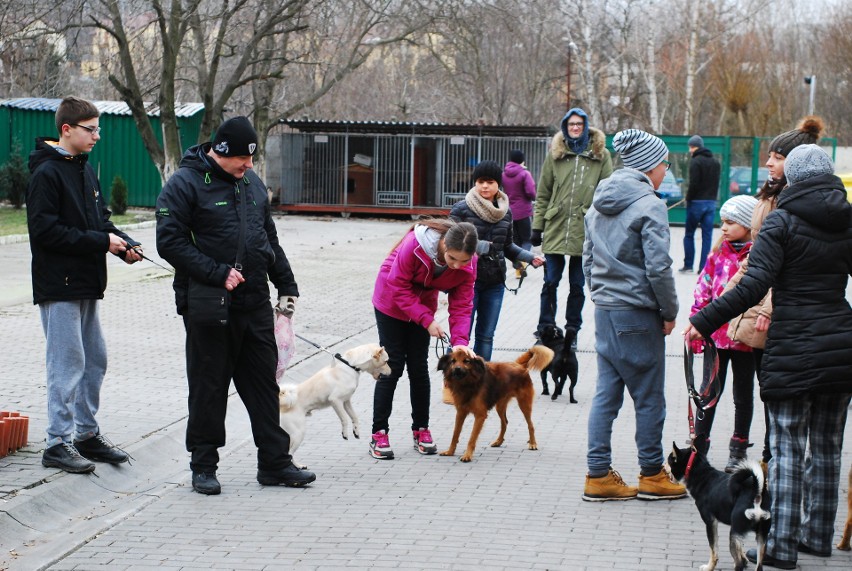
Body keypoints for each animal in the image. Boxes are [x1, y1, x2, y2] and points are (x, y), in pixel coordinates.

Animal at [664, 436, 772, 568]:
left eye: (668, 460)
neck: (702, 475)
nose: (663, 465)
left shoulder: (711, 523)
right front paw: (744, 557)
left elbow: (714, 550)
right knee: (759, 565)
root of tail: (756, 492)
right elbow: (740, 548)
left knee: (738, 564)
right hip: (760, 536)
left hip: (734, 534)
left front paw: (709, 567)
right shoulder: (738, 531)